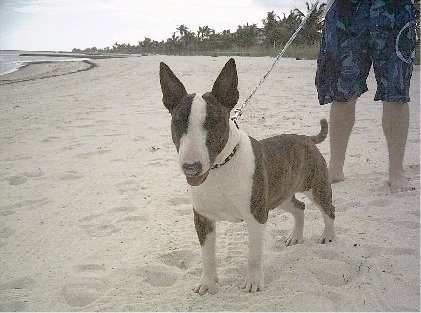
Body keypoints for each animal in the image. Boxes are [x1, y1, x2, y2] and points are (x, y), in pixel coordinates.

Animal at [159, 58, 334, 294]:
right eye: (179, 122)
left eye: (213, 122)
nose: (191, 167)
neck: (220, 168)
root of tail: (306, 138)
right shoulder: (203, 218)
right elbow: (207, 256)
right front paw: (207, 284)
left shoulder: (256, 216)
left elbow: (254, 255)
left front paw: (253, 283)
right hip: (279, 195)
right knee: (299, 207)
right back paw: (296, 237)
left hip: (315, 187)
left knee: (328, 210)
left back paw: (328, 236)